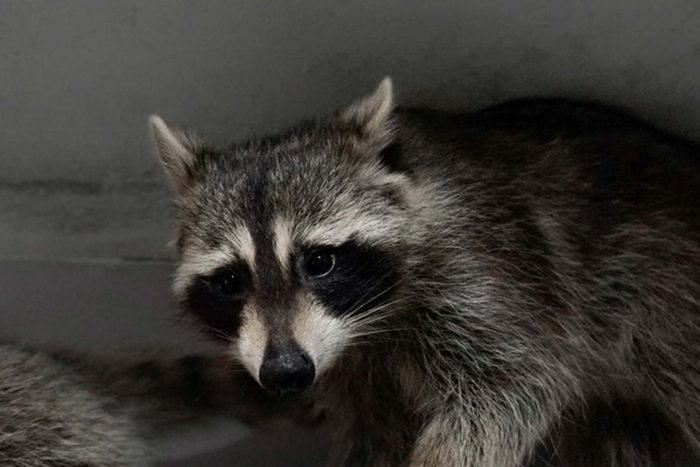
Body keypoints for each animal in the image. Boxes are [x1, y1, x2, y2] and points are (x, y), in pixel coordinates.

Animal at [150, 78, 700, 466]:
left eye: (320, 262)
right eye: (230, 282)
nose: (285, 373)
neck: (365, 331)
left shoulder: (488, 275)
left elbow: (511, 389)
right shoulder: (351, 374)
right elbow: (374, 436)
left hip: (665, 301)